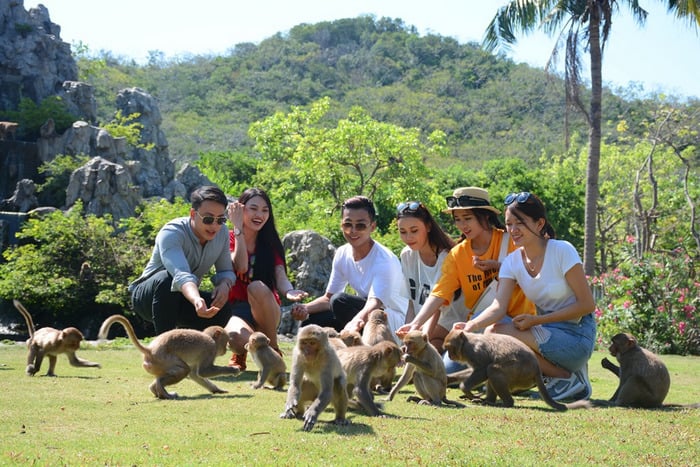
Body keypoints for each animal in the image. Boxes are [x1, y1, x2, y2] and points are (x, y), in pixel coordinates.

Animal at [98, 314, 239, 398]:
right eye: (226, 341)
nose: (225, 349)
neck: (209, 338)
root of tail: (150, 350)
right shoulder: (210, 348)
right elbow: (203, 372)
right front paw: (233, 370)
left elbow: (195, 374)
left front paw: (217, 390)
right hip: (163, 360)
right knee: (183, 370)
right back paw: (163, 391)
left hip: (154, 364)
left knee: (182, 371)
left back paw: (156, 389)